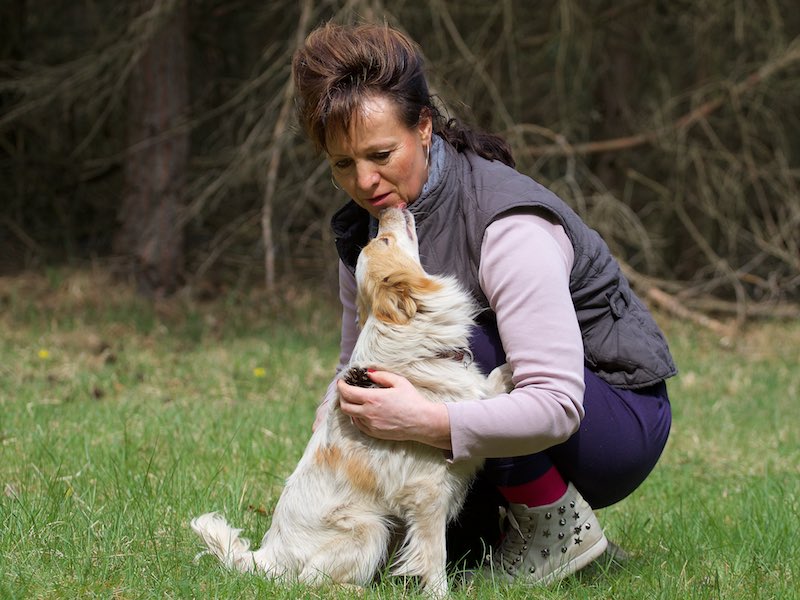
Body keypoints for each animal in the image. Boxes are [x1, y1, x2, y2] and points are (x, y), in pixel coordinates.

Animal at [191, 207, 511, 597]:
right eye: (385, 240)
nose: (389, 209)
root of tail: (269, 557)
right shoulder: (428, 494)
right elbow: (433, 558)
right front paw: (439, 593)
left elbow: (489, 386)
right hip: (369, 527)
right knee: (311, 582)